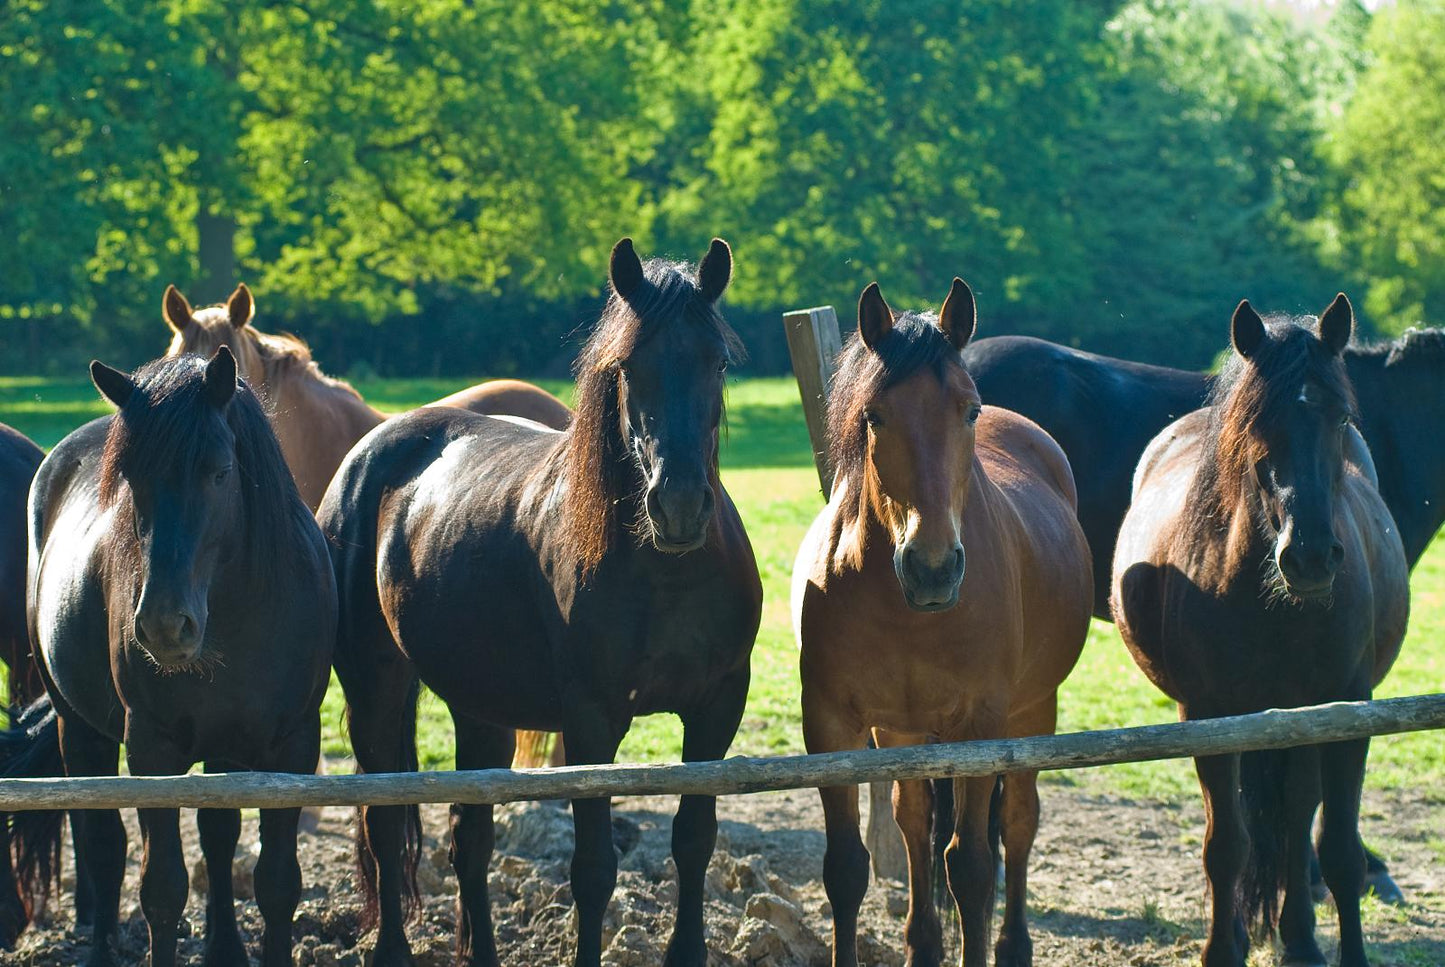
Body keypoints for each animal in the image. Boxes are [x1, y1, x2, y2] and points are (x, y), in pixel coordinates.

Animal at [14, 348, 335, 965]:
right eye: (131, 478)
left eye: (220, 471)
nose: (165, 625)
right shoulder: (151, 750)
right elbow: (161, 890)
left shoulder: (291, 747)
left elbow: (276, 883)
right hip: (78, 728)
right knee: (104, 847)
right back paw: (101, 949)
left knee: (216, 837)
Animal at [319, 235, 768, 965]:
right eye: (628, 366)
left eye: (718, 361)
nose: (677, 505)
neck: (668, 573)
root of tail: (372, 447)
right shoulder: (590, 721)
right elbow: (592, 868)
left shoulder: (718, 707)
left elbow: (694, 842)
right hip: (374, 691)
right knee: (386, 830)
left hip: (480, 710)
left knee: (468, 843)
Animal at [797, 280, 1086, 965]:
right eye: (875, 415)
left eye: (968, 411)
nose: (932, 569)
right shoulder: (831, 726)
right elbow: (847, 866)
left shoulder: (981, 725)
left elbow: (973, 868)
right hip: (906, 733)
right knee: (913, 821)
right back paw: (923, 943)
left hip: (1031, 709)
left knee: (1018, 823)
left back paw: (1013, 945)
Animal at [1109, 296, 1404, 965]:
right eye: (1255, 421)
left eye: (1341, 417)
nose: (1311, 556)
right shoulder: (1209, 714)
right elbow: (1226, 848)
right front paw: (1223, 948)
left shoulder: (1348, 709)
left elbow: (1339, 852)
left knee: (1296, 822)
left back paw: (1301, 941)